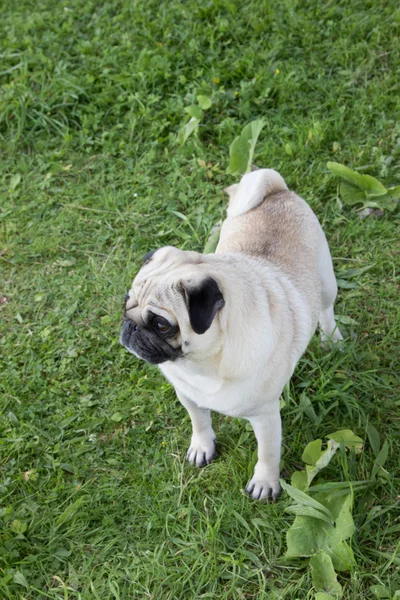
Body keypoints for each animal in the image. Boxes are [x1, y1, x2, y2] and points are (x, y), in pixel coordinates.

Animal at [119, 166, 340, 500]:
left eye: (161, 324)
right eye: (125, 303)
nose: (130, 326)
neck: (202, 364)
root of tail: (276, 190)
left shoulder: (265, 416)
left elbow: (268, 454)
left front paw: (265, 483)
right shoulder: (187, 395)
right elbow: (199, 422)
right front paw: (202, 446)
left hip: (326, 281)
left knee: (326, 310)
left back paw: (332, 340)